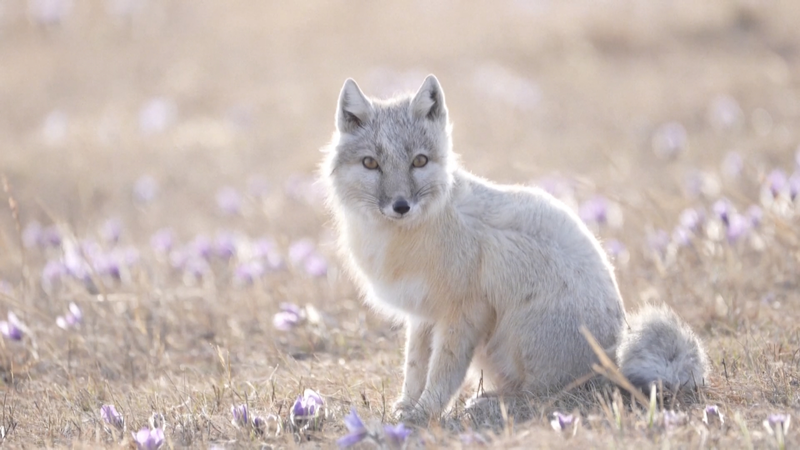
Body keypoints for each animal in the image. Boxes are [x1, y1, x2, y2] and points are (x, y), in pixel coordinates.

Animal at [321, 74, 709, 422]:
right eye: (371, 163)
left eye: (419, 161)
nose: (400, 206)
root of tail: (612, 360)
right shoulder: (424, 316)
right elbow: (414, 368)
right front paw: (404, 409)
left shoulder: (464, 313)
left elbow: (443, 374)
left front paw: (423, 415)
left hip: (510, 335)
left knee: (545, 399)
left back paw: (491, 405)